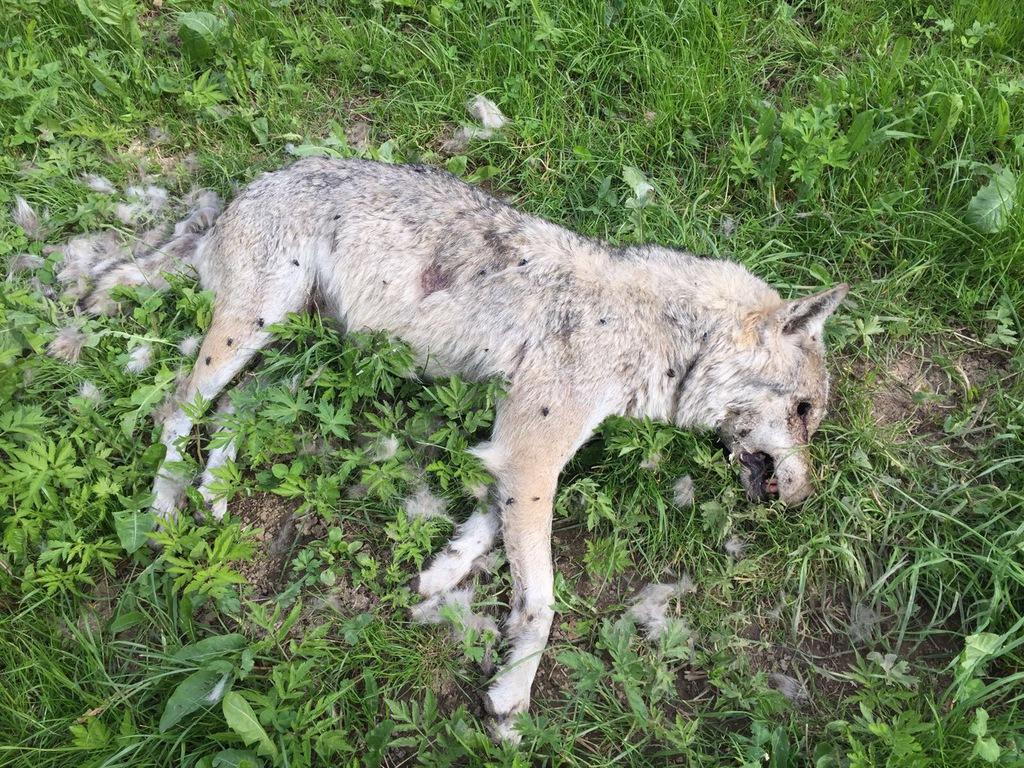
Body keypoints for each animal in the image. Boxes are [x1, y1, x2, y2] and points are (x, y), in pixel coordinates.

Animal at [65, 157, 847, 741]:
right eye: (806, 412)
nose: (805, 496)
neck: (665, 335)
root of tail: (243, 190)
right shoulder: (531, 456)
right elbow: (543, 602)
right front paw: (511, 699)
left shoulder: (510, 457)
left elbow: (483, 533)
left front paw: (439, 579)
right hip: (251, 334)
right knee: (175, 409)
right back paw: (165, 511)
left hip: (290, 361)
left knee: (230, 413)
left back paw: (215, 491)